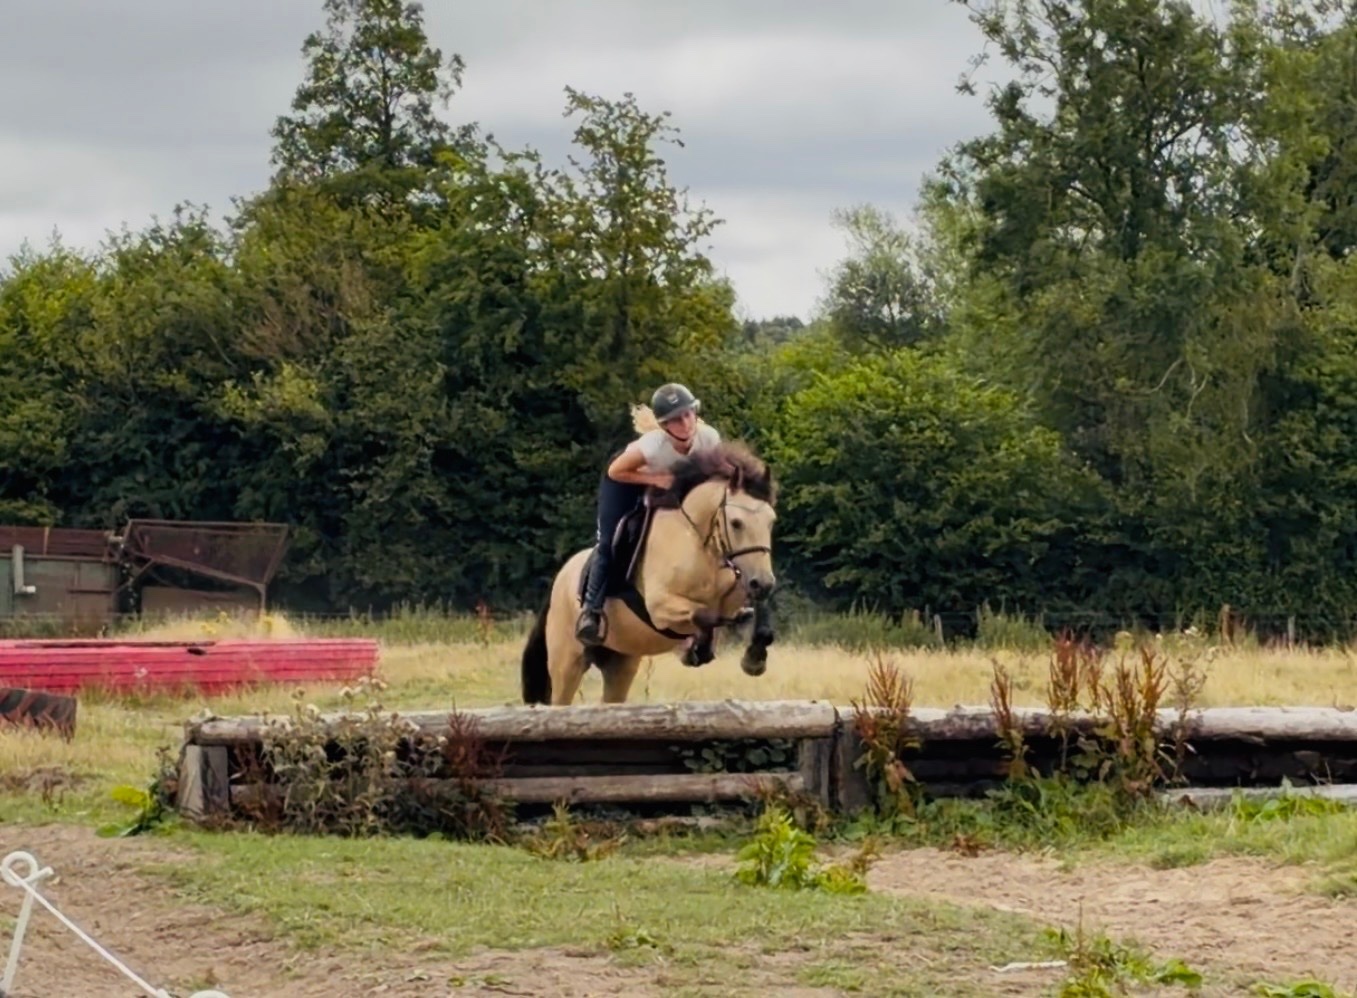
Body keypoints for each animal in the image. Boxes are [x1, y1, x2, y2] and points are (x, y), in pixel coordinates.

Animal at [520, 440, 779, 706]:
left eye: (771, 521)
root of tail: (559, 580)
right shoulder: (660, 608)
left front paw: (753, 659)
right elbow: (703, 614)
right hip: (567, 662)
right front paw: (699, 648)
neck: (700, 546)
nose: (764, 583)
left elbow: (758, 622)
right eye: (736, 523)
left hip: (620, 663)